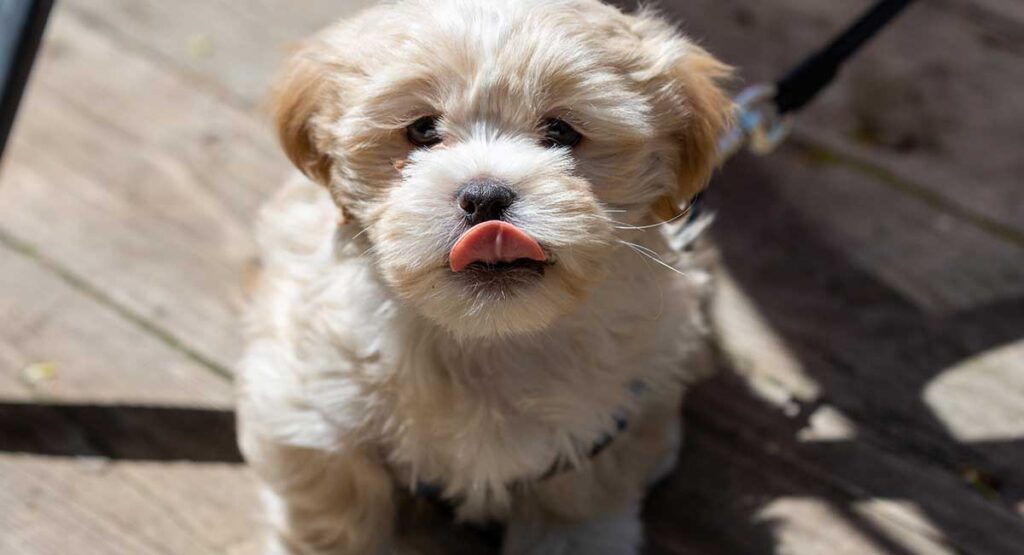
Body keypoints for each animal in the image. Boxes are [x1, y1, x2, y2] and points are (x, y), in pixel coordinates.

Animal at [237, 2, 737, 552]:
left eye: (562, 132)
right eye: (422, 130)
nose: (485, 198)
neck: (486, 336)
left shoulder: (603, 433)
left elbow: (576, 509)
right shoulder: (308, 403)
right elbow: (333, 507)